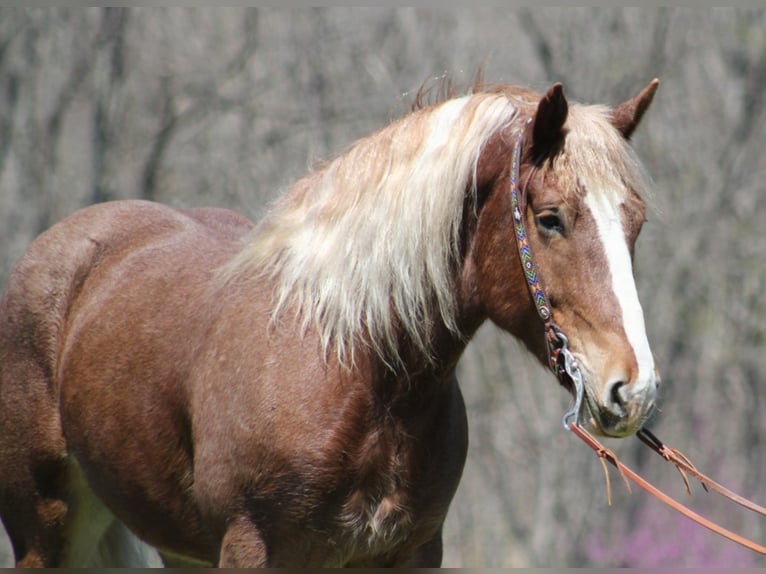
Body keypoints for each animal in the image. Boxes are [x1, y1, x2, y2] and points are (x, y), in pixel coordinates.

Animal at [0, 79, 660, 568]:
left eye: (636, 223)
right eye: (550, 218)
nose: (634, 389)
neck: (349, 366)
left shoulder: (409, 554)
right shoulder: (251, 549)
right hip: (45, 534)